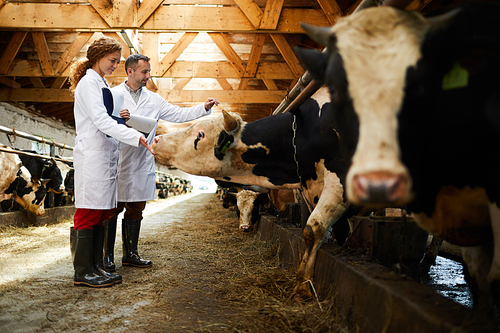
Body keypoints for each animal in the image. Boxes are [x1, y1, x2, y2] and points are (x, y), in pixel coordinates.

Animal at [154, 87, 350, 298]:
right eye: (238, 208)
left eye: (200, 134)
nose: (156, 138)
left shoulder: (339, 182)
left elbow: (313, 230)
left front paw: (303, 288)